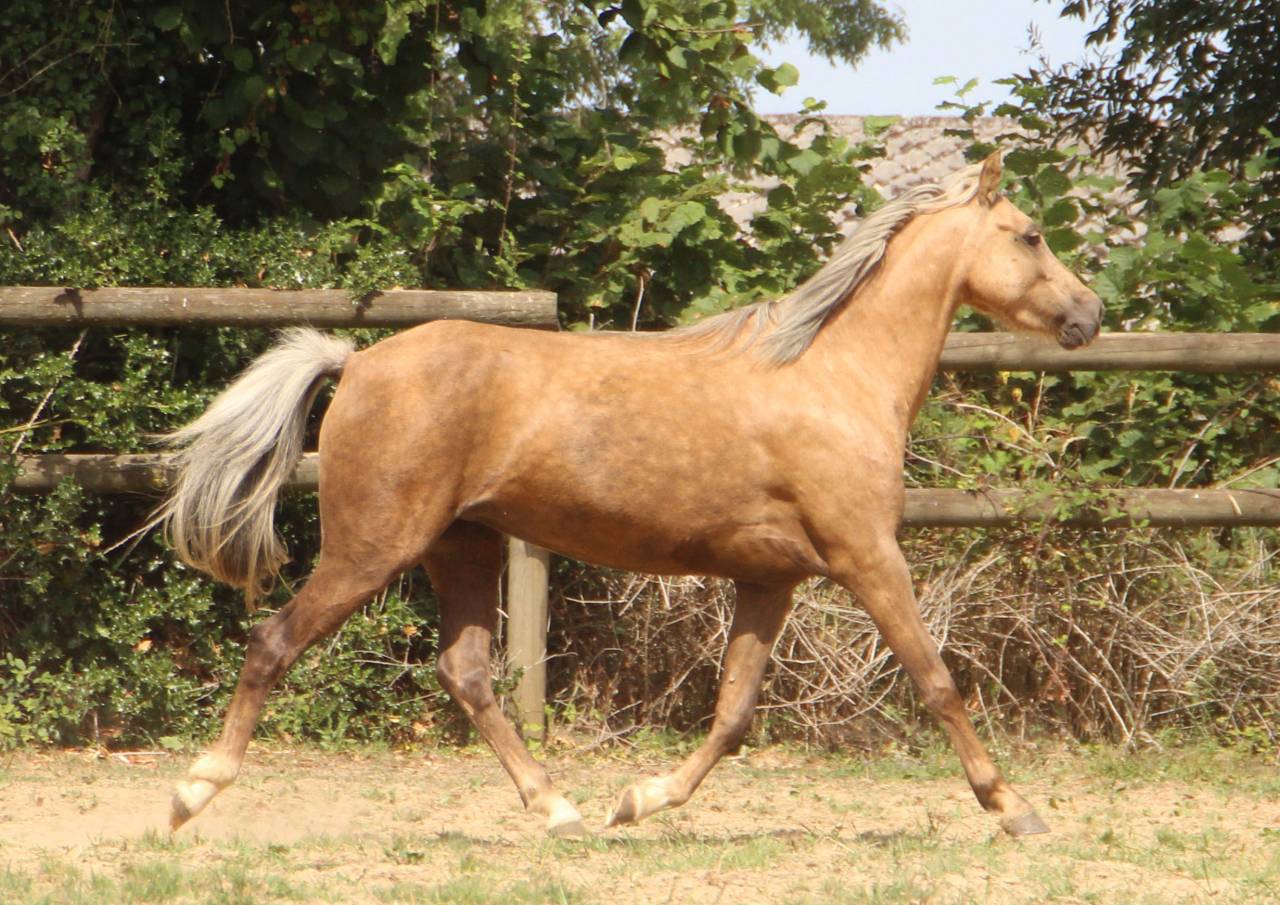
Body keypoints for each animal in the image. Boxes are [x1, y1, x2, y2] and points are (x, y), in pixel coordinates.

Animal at [158, 153, 1101, 838]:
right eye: (1030, 235)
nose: (1088, 316)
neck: (834, 376)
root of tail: (355, 362)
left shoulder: (772, 578)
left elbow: (733, 713)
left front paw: (638, 799)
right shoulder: (870, 557)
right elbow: (938, 681)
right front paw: (1016, 809)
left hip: (462, 546)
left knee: (467, 674)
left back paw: (560, 807)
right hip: (372, 547)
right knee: (273, 641)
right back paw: (191, 792)